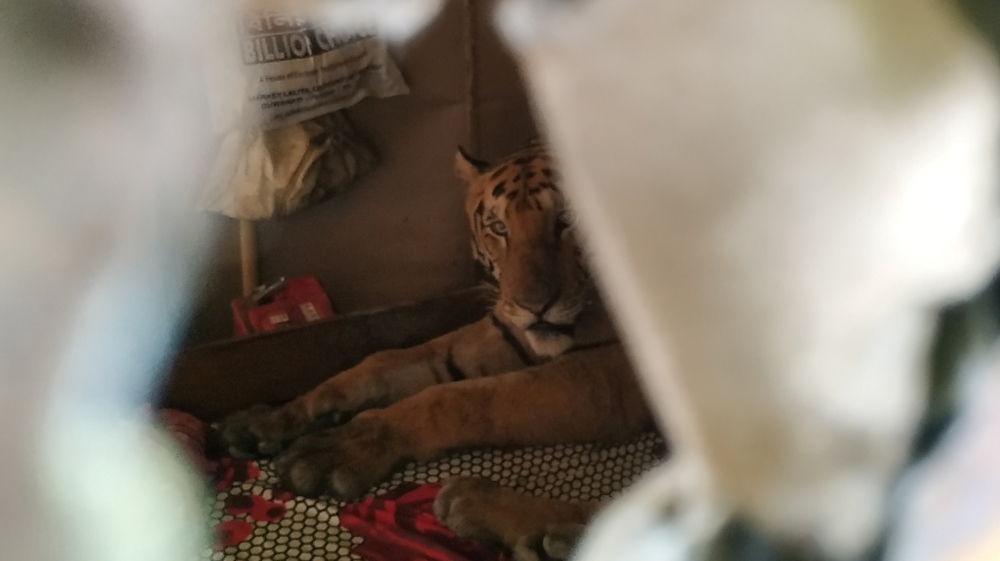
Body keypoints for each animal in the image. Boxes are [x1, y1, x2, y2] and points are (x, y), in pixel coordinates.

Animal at [219, 140, 655, 560]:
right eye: (499, 227)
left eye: (568, 219)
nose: (533, 305)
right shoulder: (504, 333)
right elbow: (385, 363)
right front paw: (269, 421)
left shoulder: (608, 376)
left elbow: (455, 399)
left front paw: (340, 449)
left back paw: (505, 516)